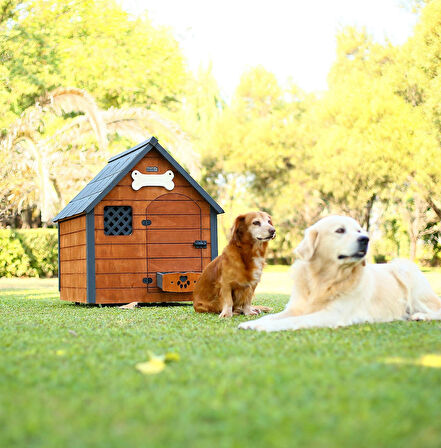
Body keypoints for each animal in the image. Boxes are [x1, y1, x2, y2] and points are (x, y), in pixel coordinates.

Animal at [237, 215, 440, 330]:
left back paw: (421, 316)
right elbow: (273, 316)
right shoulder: (296, 308)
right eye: (340, 230)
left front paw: (262, 326)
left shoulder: (333, 314)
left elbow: (290, 321)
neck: (323, 279)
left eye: (359, 230)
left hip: (406, 271)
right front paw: (251, 323)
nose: (365, 239)